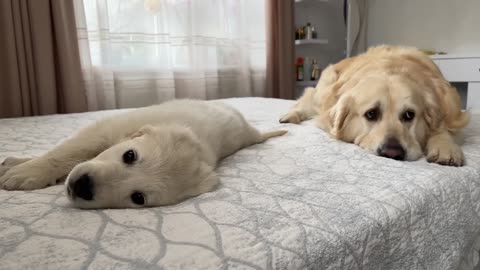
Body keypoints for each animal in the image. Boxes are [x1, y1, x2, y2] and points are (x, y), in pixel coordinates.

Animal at [0, 100, 284, 208]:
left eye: (138, 198)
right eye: (129, 155)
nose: (83, 187)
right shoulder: (105, 130)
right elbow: (68, 151)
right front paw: (24, 169)